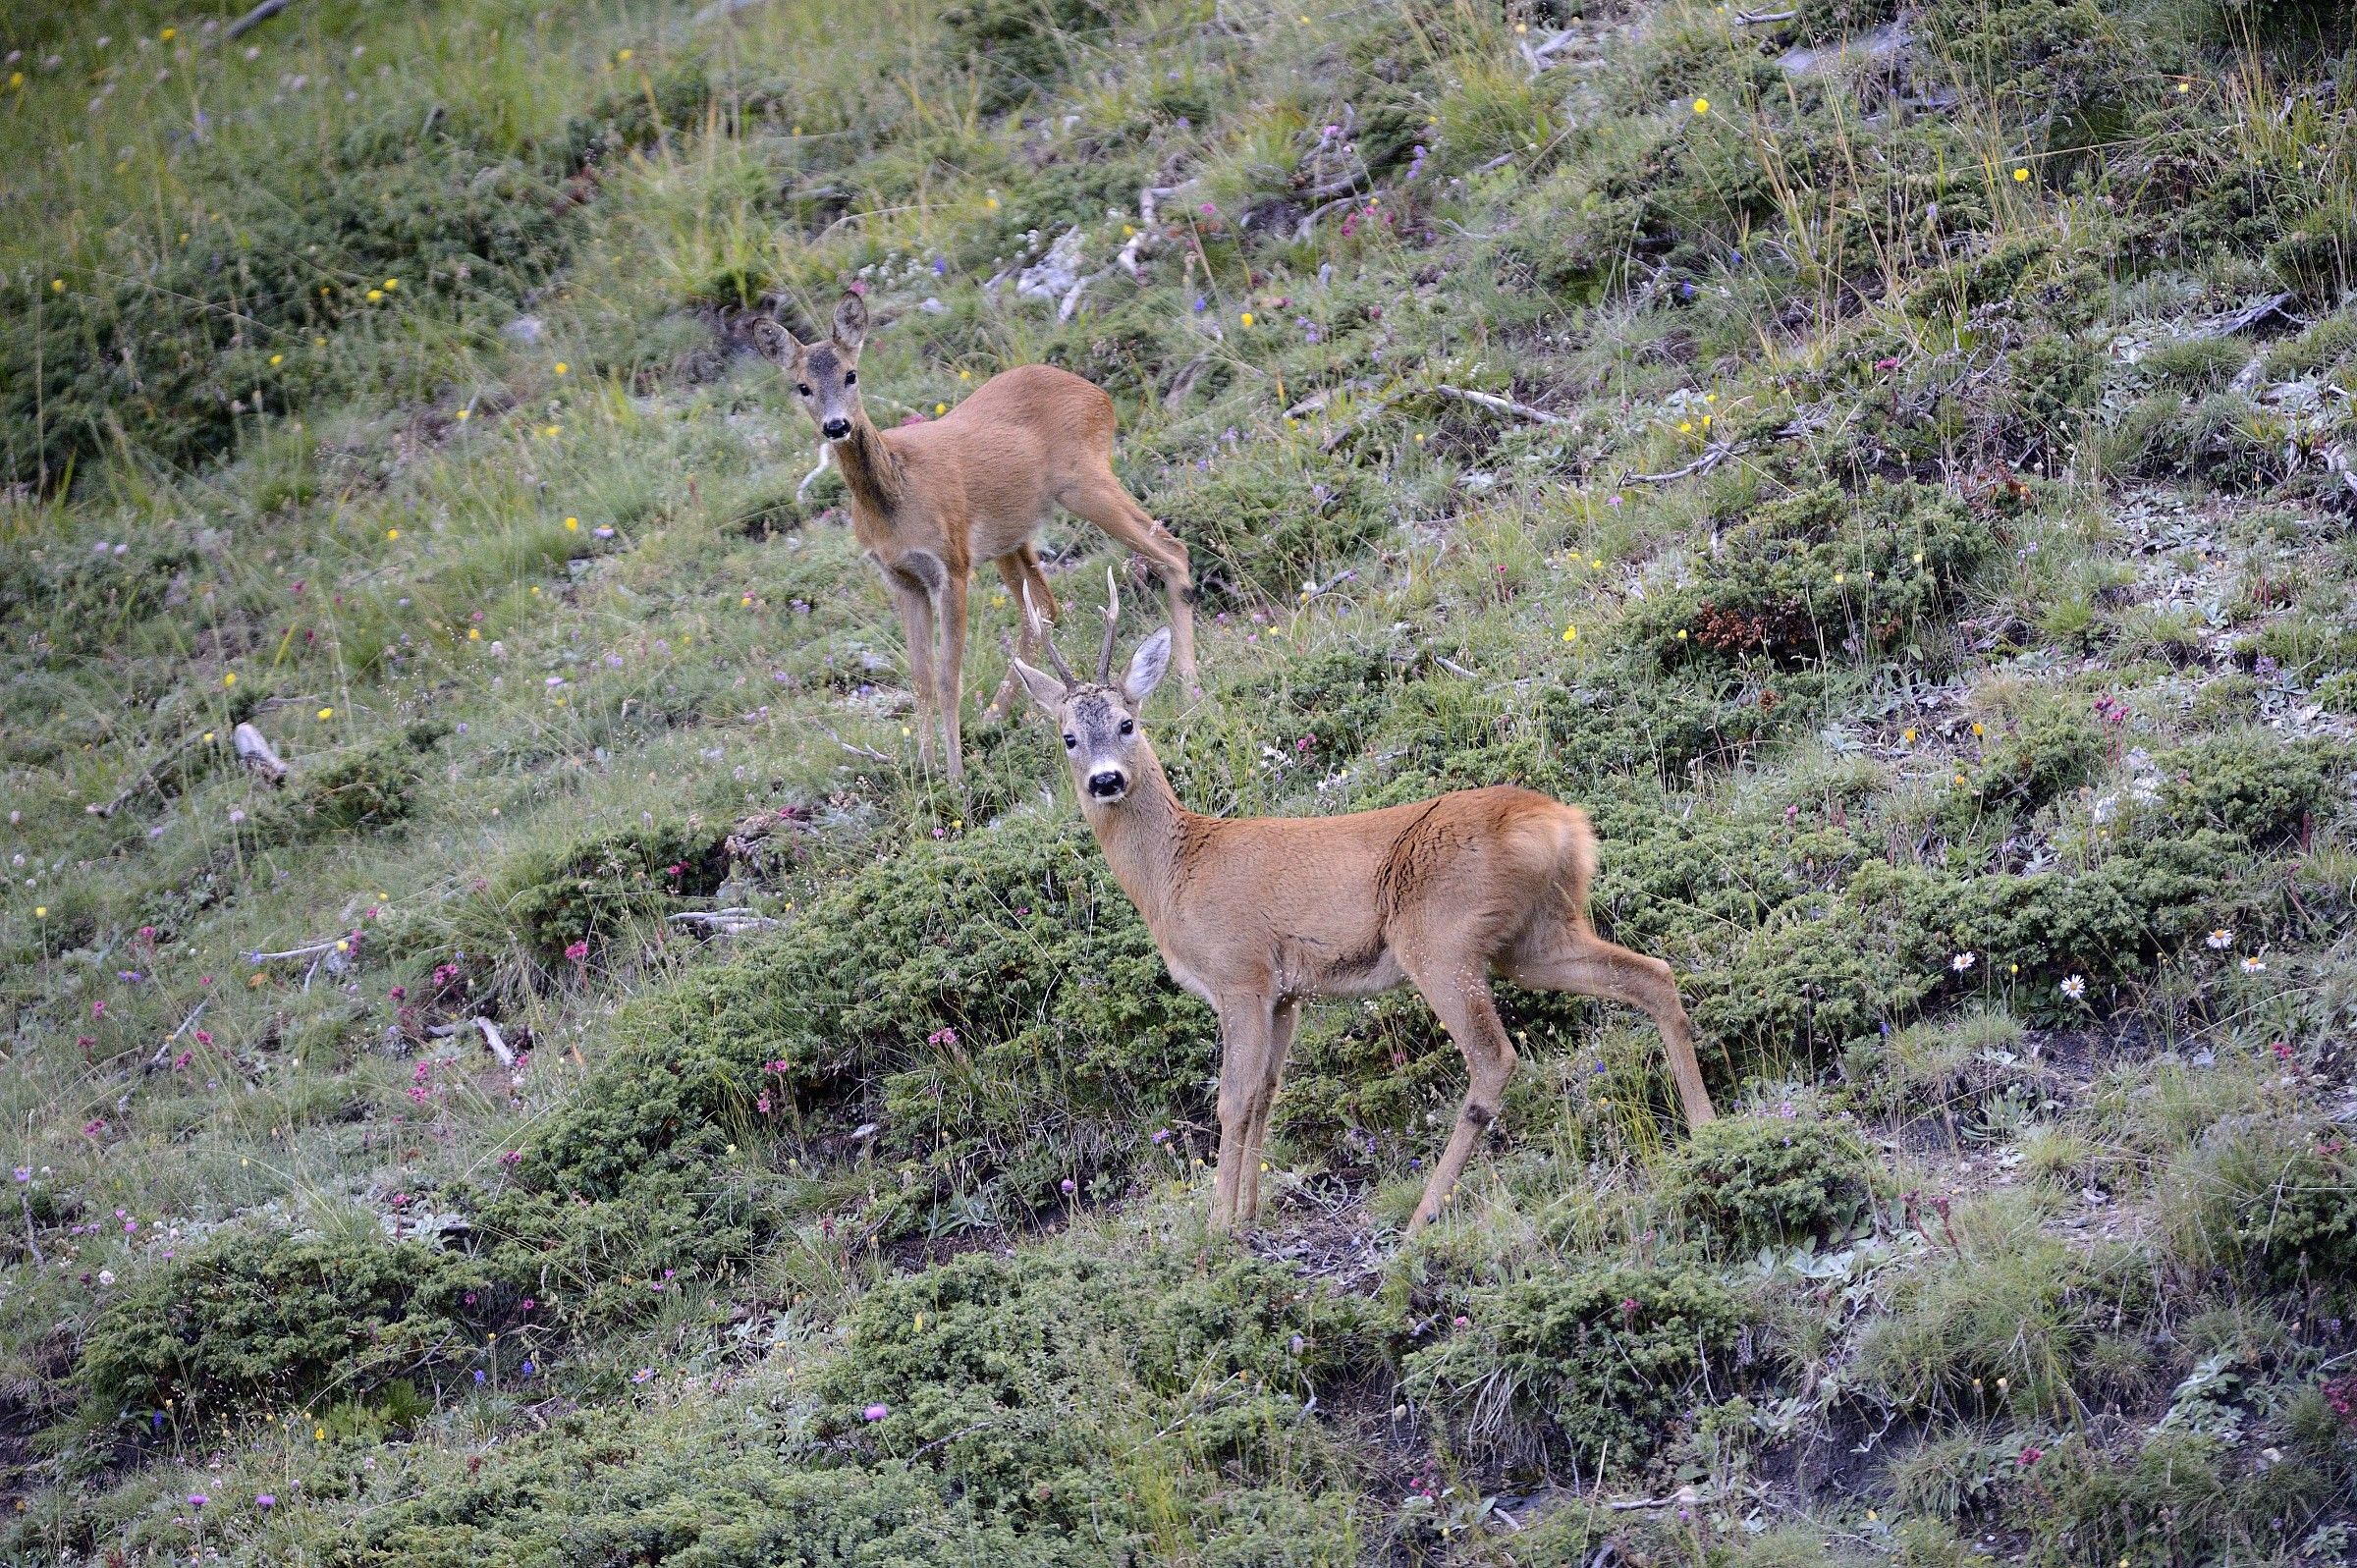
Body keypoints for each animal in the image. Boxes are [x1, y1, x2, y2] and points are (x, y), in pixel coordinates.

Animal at [749, 292, 1200, 781]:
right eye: (802, 387)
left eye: (851, 373)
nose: (836, 426)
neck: (896, 500)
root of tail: (1099, 395)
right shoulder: (901, 578)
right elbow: (921, 676)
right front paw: (927, 769)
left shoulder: (952, 566)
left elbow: (949, 675)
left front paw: (955, 775)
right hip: (1011, 534)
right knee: (1044, 607)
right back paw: (996, 716)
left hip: (1085, 482)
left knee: (1172, 551)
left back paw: (1189, 689)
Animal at [1011, 581, 1717, 1234]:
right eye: (1068, 737)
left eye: (1127, 723)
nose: (1106, 779)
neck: (1176, 873)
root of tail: (1563, 823)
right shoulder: (1286, 994)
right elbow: (1266, 1094)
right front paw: (1248, 1218)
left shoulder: (1241, 974)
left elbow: (1232, 1101)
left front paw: (1216, 1234)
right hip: (1537, 935)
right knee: (1650, 974)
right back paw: (1706, 1129)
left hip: (1440, 937)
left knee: (1494, 1058)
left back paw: (1424, 1215)